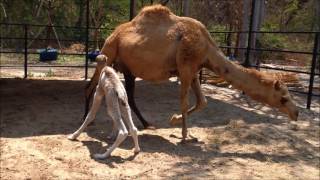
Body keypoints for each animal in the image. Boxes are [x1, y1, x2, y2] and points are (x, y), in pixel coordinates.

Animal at [84, 4, 298, 142]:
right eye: (284, 98)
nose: (296, 113)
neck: (207, 47)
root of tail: (114, 33)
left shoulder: (195, 70)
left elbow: (202, 102)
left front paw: (175, 122)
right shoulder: (186, 67)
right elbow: (185, 102)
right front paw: (184, 135)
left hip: (128, 68)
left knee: (129, 95)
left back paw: (146, 124)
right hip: (109, 50)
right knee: (91, 85)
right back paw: (88, 120)